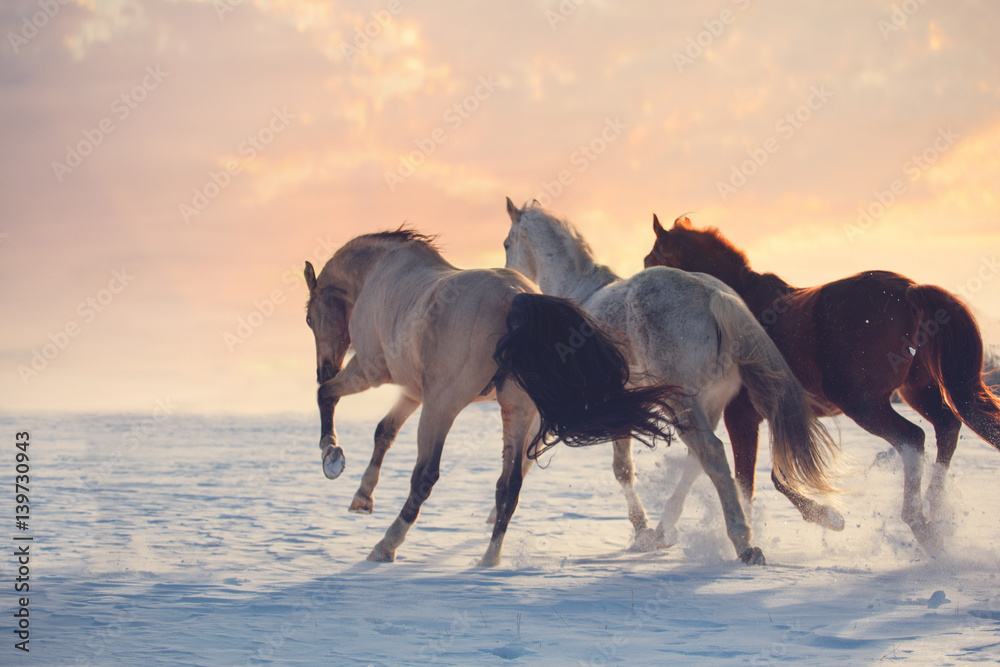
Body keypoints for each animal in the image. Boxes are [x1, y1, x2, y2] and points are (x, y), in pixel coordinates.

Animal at [306, 227, 680, 568]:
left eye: (309, 318)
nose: (323, 368)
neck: (380, 272)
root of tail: (517, 297)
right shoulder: (412, 392)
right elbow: (384, 431)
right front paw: (362, 496)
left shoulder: (370, 371)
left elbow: (326, 395)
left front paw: (331, 455)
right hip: (516, 410)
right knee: (509, 485)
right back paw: (489, 559)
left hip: (443, 406)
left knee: (426, 476)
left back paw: (386, 546)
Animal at [504, 200, 840, 564]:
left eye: (507, 244)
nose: (511, 281)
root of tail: (714, 296)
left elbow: (620, 469)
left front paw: (641, 531)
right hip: (708, 403)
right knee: (699, 459)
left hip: (685, 402)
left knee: (711, 454)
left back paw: (743, 542)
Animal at [644, 215, 1000, 552]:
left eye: (650, 261)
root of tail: (909, 291)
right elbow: (774, 476)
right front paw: (827, 516)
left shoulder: (741, 416)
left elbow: (749, 481)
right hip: (916, 391)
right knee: (947, 428)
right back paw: (936, 514)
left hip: (863, 402)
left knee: (913, 438)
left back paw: (918, 521)